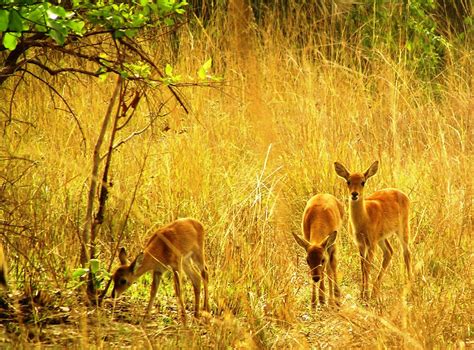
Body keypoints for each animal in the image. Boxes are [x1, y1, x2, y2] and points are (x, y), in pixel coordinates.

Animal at [334, 161, 412, 300]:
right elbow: (362, 266)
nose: (354, 194)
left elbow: (367, 266)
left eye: (363, 182)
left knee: (406, 253)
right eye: (348, 181)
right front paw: (362, 294)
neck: (364, 219)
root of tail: (402, 193)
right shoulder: (360, 243)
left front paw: (365, 294)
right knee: (389, 252)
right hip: (382, 238)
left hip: (402, 228)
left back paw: (410, 287)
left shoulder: (371, 243)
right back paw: (375, 291)